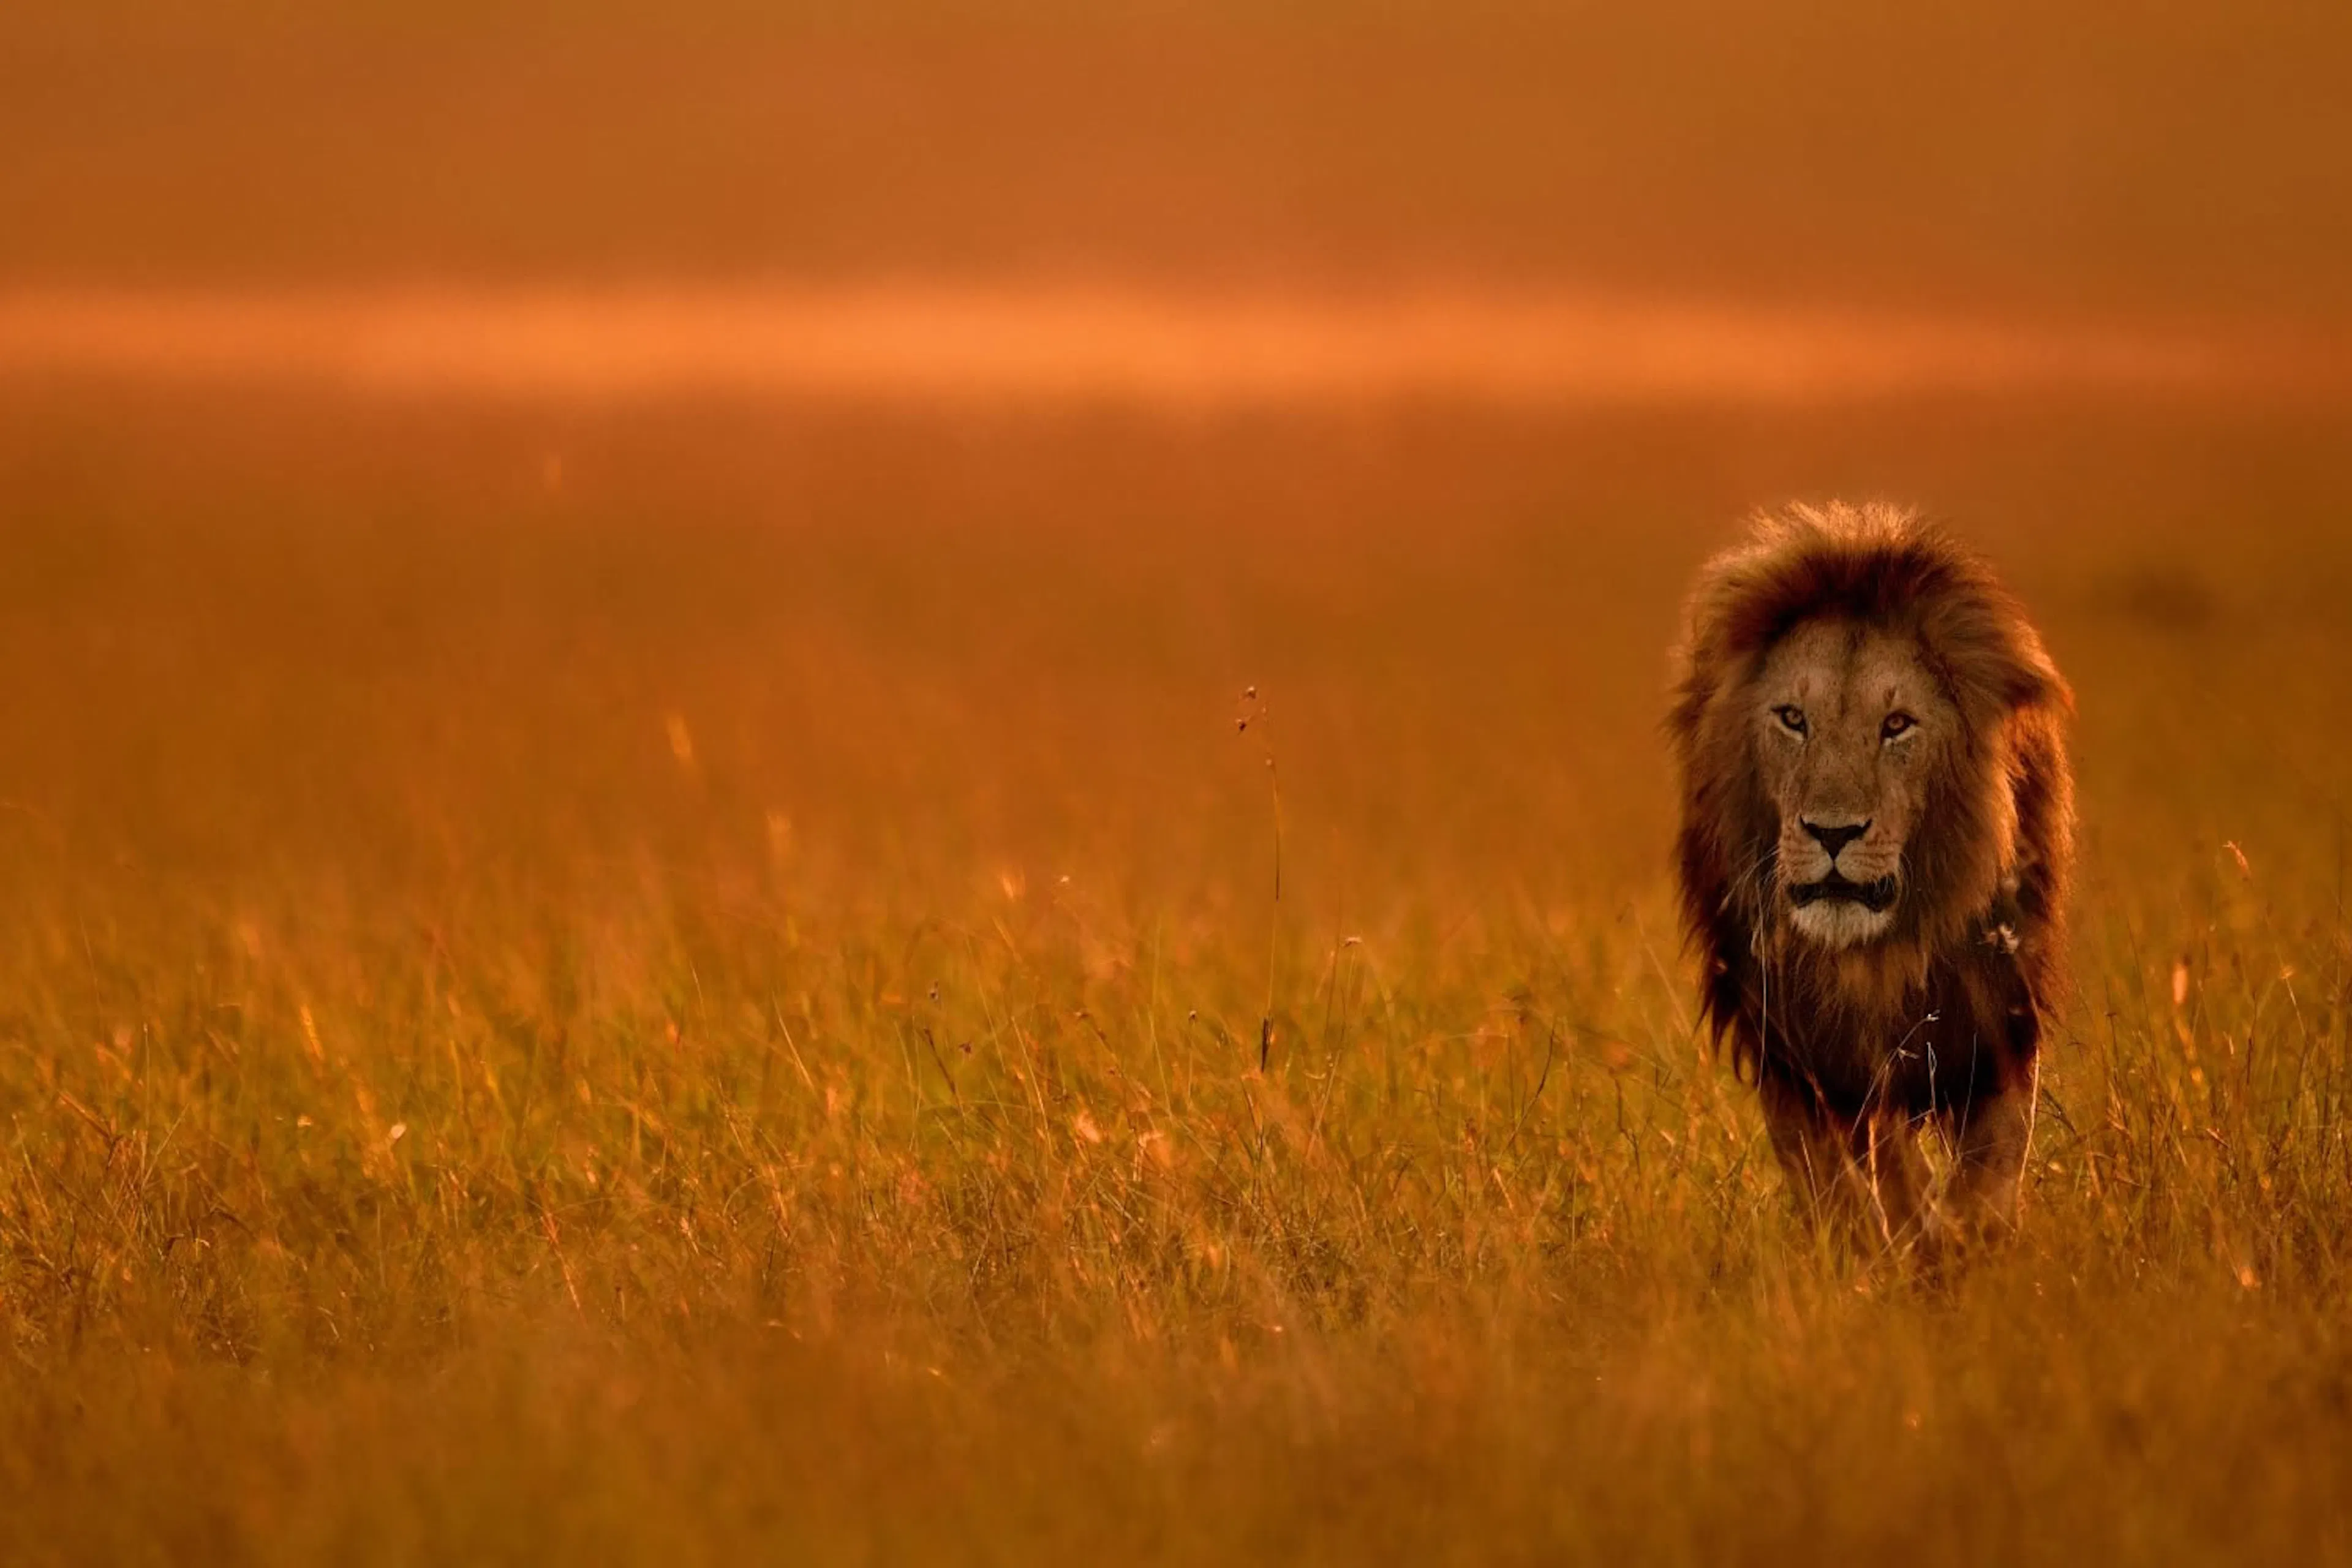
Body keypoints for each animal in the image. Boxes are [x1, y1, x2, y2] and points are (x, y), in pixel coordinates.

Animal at [1666, 502, 2075, 1261]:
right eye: (1792, 719)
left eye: (1897, 725)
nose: (1833, 833)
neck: (1875, 956)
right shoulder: (1791, 1049)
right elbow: (1845, 1174)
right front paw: (1876, 1249)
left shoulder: (1997, 1020)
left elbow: (1989, 1168)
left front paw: (1963, 1246)